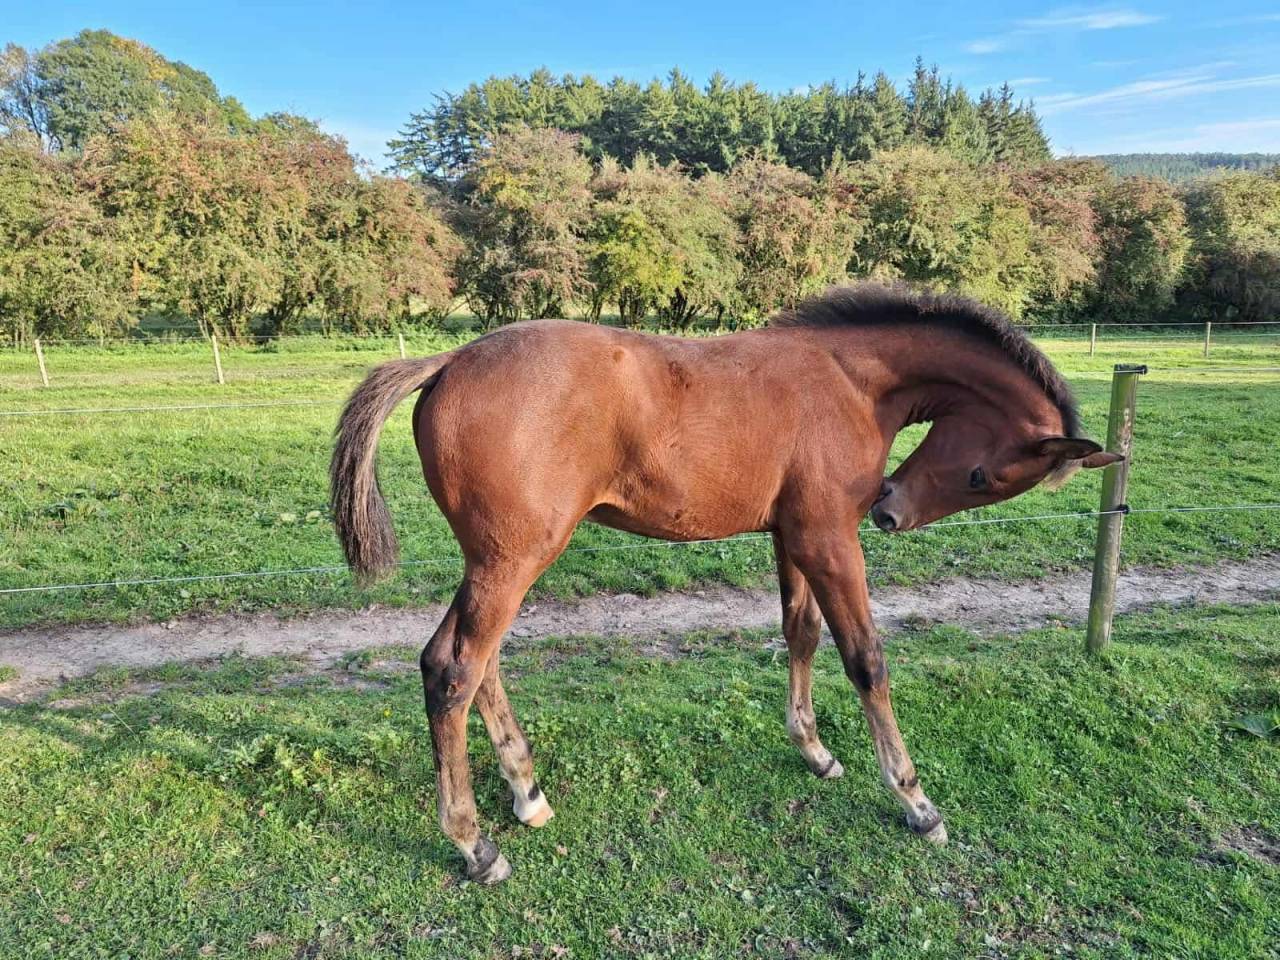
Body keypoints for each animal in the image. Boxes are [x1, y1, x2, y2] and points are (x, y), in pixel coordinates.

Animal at [330, 283, 1120, 884]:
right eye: (984, 476)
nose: (890, 512)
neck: (847, 379)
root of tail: (448, 361)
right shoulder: (830, 537)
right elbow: (866, 659)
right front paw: (916, 801)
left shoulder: (792, 535)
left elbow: (800, 633)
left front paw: (815, 751)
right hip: (513, 559)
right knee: (452, 668)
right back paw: (475, 845)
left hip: (497, 561)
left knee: (478, 664)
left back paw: (527, 793)